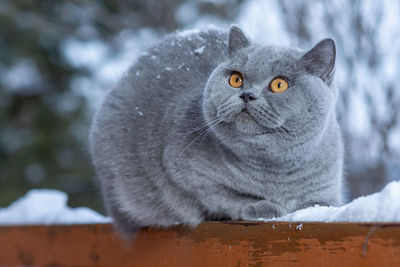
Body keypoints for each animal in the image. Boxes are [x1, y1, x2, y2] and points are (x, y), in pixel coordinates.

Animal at [90, 26, 344, 238]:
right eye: (236, 79)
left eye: (279, 84)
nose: (247, 94)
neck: (274, 170)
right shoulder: (183, 171)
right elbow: (225, 195)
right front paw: (264, 207)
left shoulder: (326, 192)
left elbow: (319, 205)